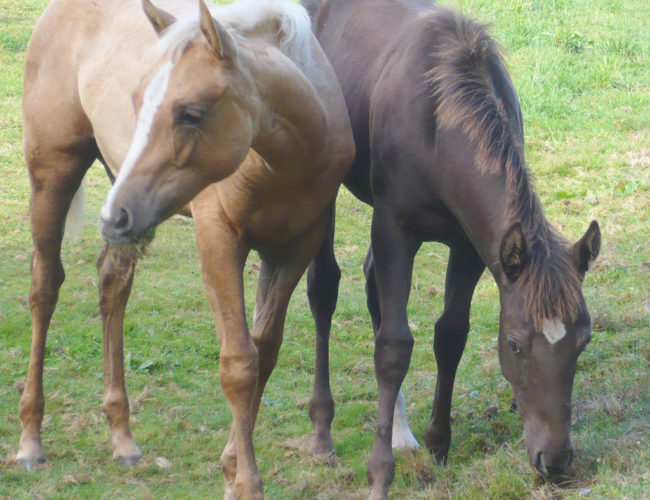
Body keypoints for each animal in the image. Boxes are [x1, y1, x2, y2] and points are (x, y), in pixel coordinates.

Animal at [19, 1, 354, 498]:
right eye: (137, 101)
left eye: (191, 113)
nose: (114, 216)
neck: (284, 160)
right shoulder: (219, 240)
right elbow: (238, 363)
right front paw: (244, 482)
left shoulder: (294, 249)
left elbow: (265, 351)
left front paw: (231, 464)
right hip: (54, 173)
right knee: (45, 288)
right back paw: (30, 440)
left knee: (112, 284)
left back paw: (122, 436)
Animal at [301, 0, 601, 498]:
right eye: (516, 345)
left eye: (584, 340)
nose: (555, 460)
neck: (438, 121)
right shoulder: (395, 231)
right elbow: (394, 346)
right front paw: (379, 472)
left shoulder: (472, 247)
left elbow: (450, 334)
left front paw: (438, 443)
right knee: (324, 287)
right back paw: (323, 430)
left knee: (370, 283)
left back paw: (401, 430)